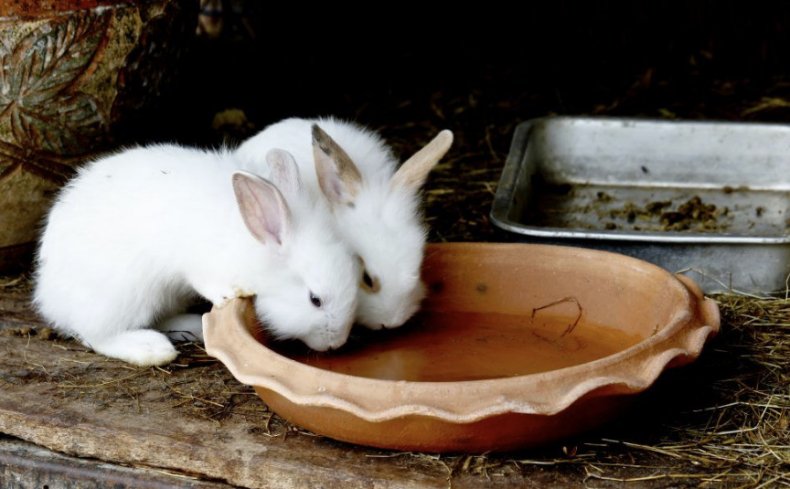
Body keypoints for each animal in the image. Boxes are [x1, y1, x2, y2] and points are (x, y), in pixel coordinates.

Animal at [34, 145, 358, 366]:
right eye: (315, 300)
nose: (337, 342)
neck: (254, 246)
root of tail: (48, 295)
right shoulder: (202, 263)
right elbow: (207, 281)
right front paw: (230, 294)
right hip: (125, 295)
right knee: (97, 334)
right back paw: (152, 350)